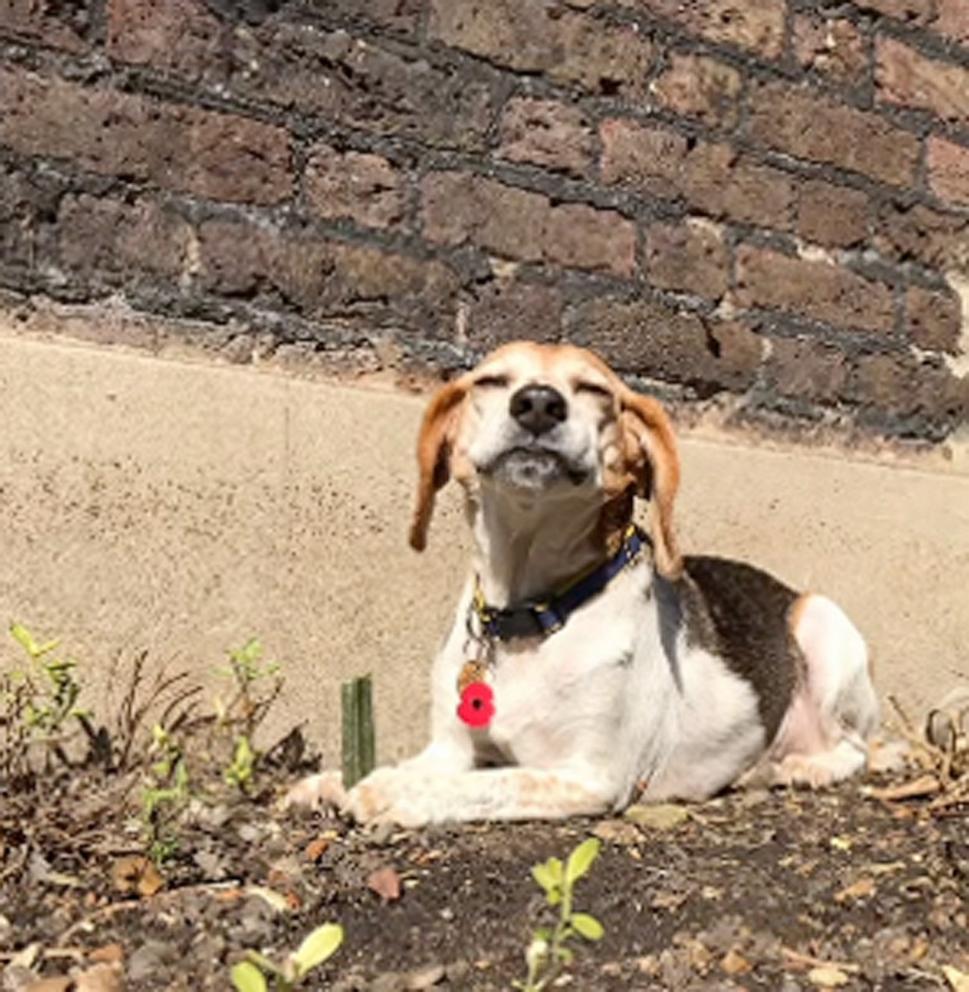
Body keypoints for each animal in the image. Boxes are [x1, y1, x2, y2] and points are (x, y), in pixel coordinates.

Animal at [288, 340, 876, 820]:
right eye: (492, 381)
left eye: (594, 390)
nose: (537, 403)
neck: (528, 615)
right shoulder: (450, 749)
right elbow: (414, 765)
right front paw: (333, 780)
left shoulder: (590, 776)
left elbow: (494, 783)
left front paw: (393, 794)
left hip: (824, 624)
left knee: (857, 748)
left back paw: (804, 768)